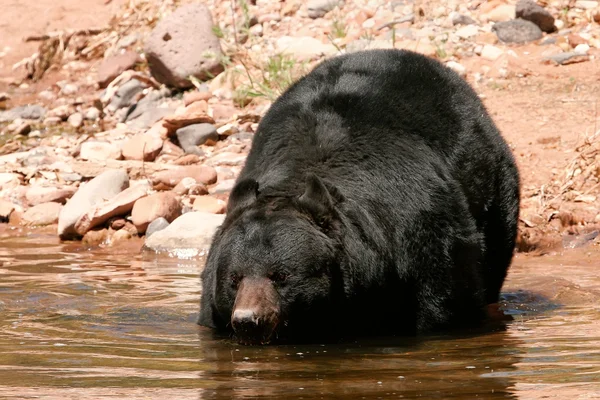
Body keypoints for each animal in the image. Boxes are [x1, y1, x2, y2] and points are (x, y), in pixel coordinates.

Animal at [198, 49, 520, 344]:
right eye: (234, 279)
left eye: (281, 276)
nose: (249, 321)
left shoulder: (420, 233)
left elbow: (446, 301)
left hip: (495, 186)